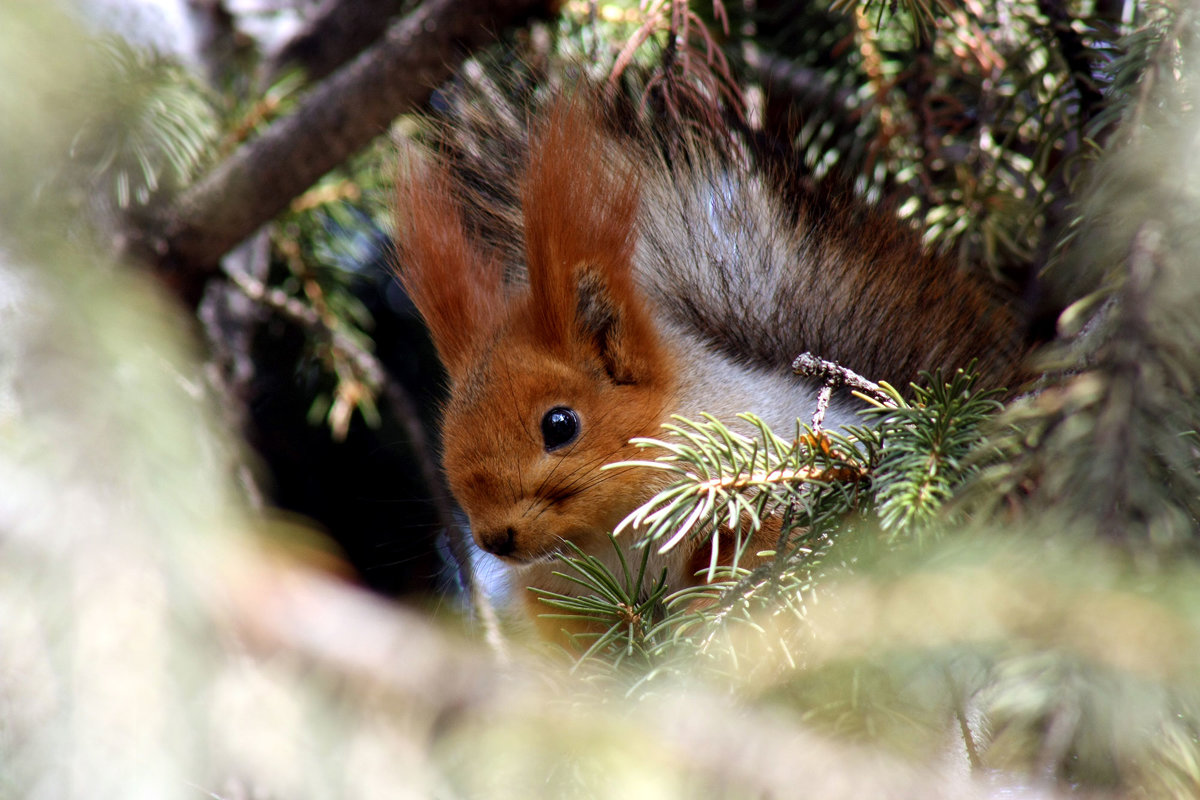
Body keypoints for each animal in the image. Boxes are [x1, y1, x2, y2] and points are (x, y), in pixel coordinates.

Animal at [391, 90, 1022, 633]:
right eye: (447, 434)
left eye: (560, 424)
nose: (493, 538)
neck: (611, 533)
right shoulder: (559, 600)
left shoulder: (775, 478)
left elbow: (757, 548)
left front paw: (701, 613)